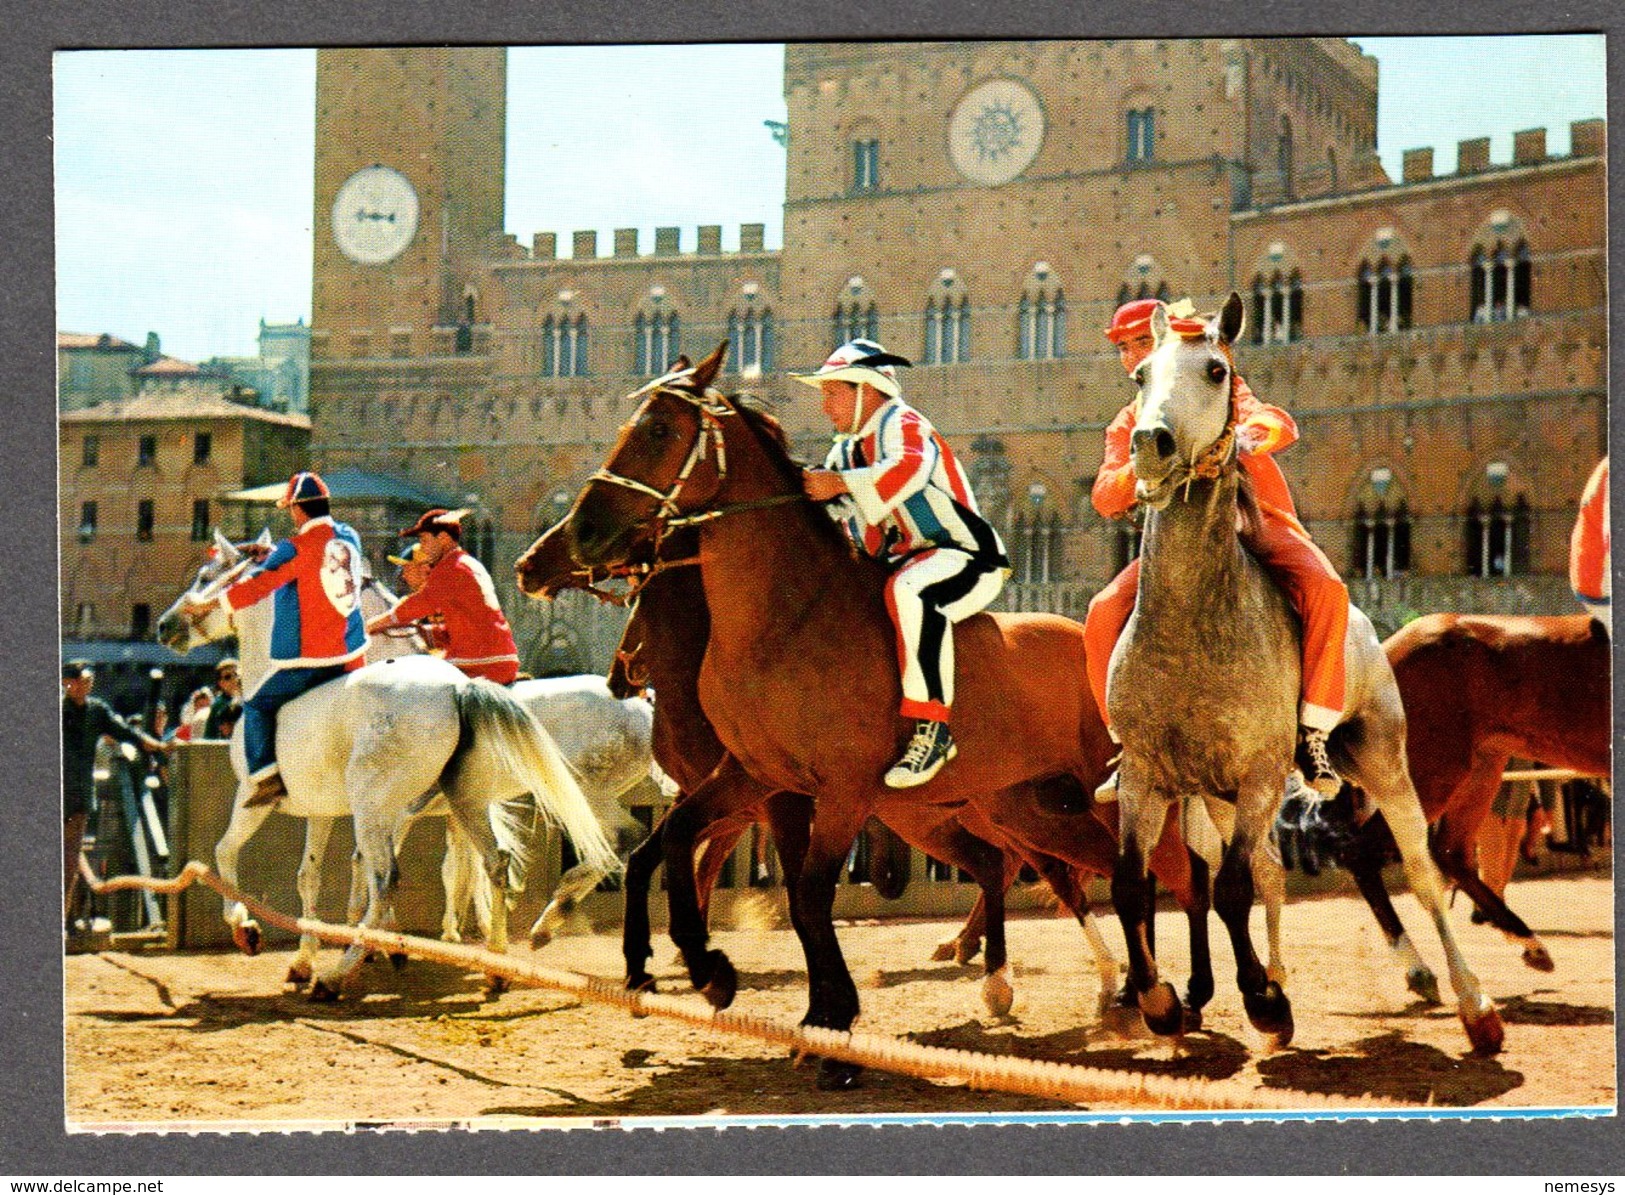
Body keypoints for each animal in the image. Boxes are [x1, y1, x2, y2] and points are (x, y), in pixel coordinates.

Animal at [156, 536, 620, 1001]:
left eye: (205, 576)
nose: (165, 625)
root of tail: (459, 686)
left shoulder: (253, 798)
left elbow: (225, 852)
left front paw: (248, 929)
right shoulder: (322, 811)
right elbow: (309, 876)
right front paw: (304, 961)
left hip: (383, 806)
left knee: (389, 880)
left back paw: (340, 973)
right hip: (465, 801)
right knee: (494, 864)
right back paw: (496, 964)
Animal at [565, 347, 1215, 1092]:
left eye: (659, 430)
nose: (583, 530)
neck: (783, 619)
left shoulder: (841, 790)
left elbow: (808, 894)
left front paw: (830, 1030)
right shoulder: (754, 776)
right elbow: (673, 844)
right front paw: (712, 971)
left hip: (1104, 798)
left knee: (1163, 878)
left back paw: (1172, 1001)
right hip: (1031, 808)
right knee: (1093, 874)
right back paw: (1137, 996)